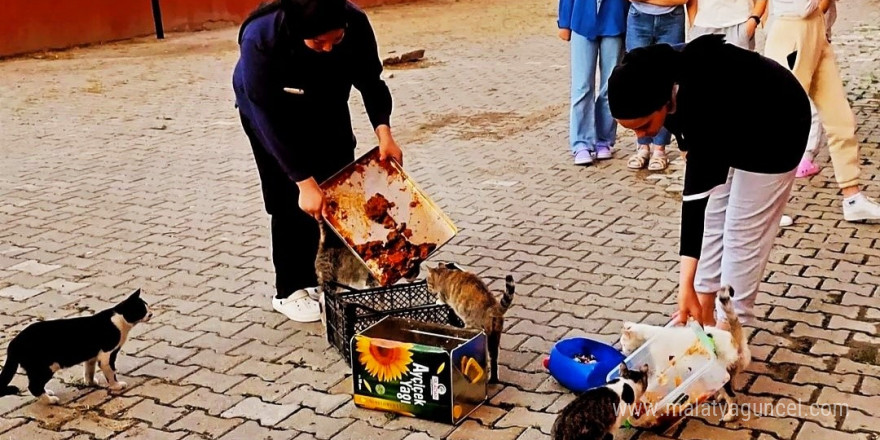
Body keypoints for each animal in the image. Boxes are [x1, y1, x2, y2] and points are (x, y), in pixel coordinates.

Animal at [0, 288, 151, 404]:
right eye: (142, 310)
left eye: (147, 306)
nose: (151, 313)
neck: (119, 319)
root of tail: (14, 342)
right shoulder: (107, 354)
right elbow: (111, 372)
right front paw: (116, 385)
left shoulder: (92, 356)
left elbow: (89, 370)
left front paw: (90, 383)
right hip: (45, 367)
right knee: (33, 386)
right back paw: (50, 400)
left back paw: (48, 393)